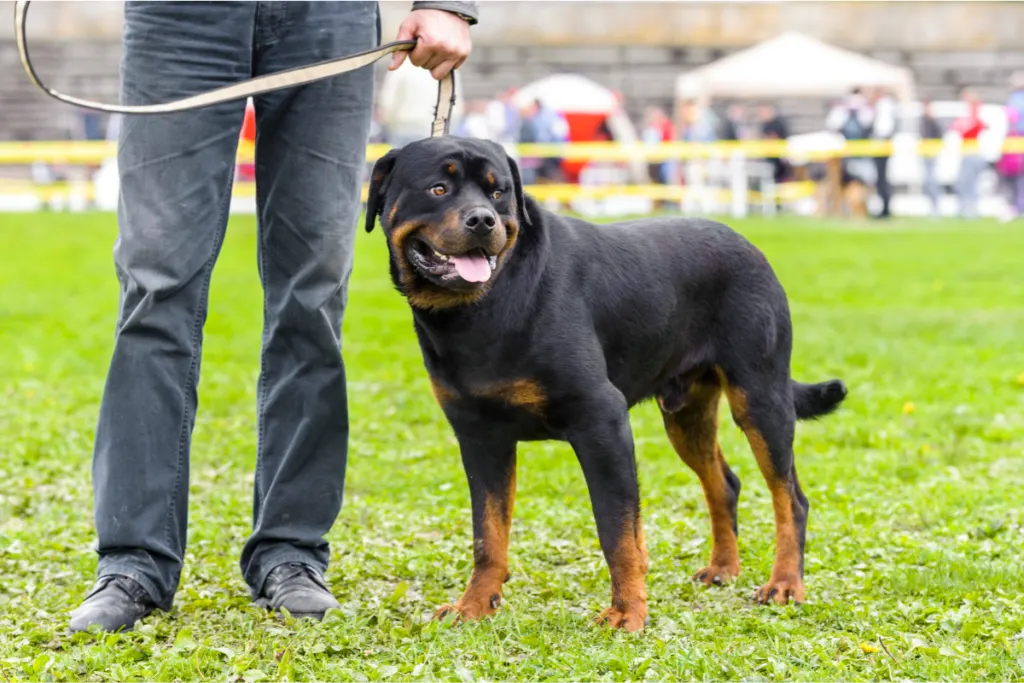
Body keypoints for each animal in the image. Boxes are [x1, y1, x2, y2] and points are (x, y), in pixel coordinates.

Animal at [368, 136, 847, 634]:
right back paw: (722, 569)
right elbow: (488, 533)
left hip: (760, 398)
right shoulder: (480, 437)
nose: (482, 220)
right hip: (686, 414)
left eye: (498, 193)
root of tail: (751, 246)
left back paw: (785, 584)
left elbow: (617, 530)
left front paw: (627, 612)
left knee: (790, 497)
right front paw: (475, 604)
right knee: (725, 484)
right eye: (438, 189)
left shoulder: (601, 421)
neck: (482, 308)